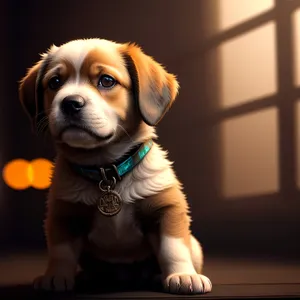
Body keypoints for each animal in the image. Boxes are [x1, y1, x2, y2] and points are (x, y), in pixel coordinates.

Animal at [18, 38, 212, 294]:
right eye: (55, 82)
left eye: (107, 81)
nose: (70, 103)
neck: (106, 169)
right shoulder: (63, 215)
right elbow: (61, 252)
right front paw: (56, 275)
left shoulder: (168, 209)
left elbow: (173, 247)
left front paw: (182, 274)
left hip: (195, 247)